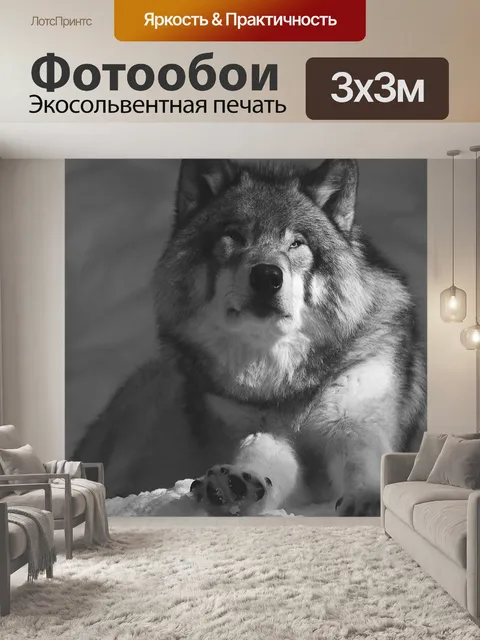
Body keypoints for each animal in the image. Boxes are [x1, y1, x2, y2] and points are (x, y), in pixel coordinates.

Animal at [73, 158, 426, 516]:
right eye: (234, 236)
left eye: (296, 243)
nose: (267, 275)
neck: (283, 382)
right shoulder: (256, 429)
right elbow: (260, 455)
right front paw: (234, 486)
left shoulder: (355, 416)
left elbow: (362, 457)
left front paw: (368, 497)